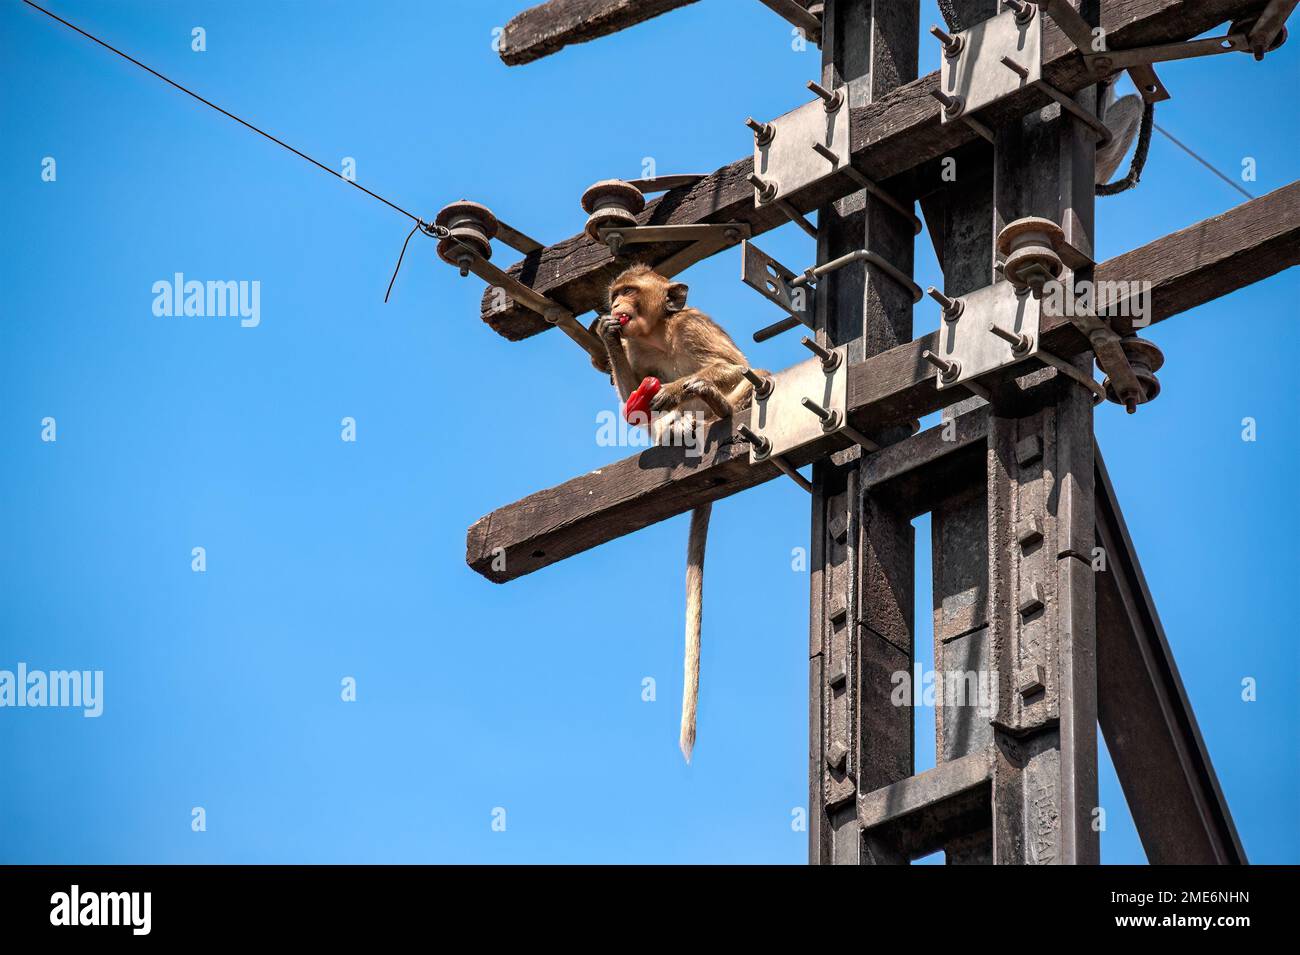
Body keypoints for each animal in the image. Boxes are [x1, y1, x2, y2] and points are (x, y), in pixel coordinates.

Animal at [590, 264, 761, 762]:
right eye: (616, 293)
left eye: (629, 291)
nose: (616, 307)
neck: (658, 333)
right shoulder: (636, 348)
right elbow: (632, 402)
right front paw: (605, 335)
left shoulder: (692, 325)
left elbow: (732, 363)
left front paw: (672, 390)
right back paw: (679, 427)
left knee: (753, 376)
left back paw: (713, 405)